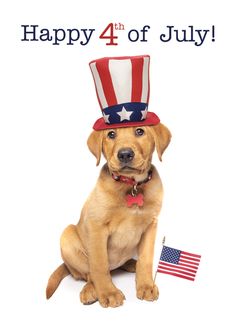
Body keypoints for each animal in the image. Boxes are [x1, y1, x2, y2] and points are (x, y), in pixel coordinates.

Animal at [46, 122, 171, 308]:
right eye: (111, 134)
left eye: (140, 131)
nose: (125, 154)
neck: (131, 185)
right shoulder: (97, 227)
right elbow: (99, 265)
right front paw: (108, 292)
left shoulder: (151, 225)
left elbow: (146, 259)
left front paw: (146, 286)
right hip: (67, 235)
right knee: (88, 274)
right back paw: (90, 290)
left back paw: (131, 263)